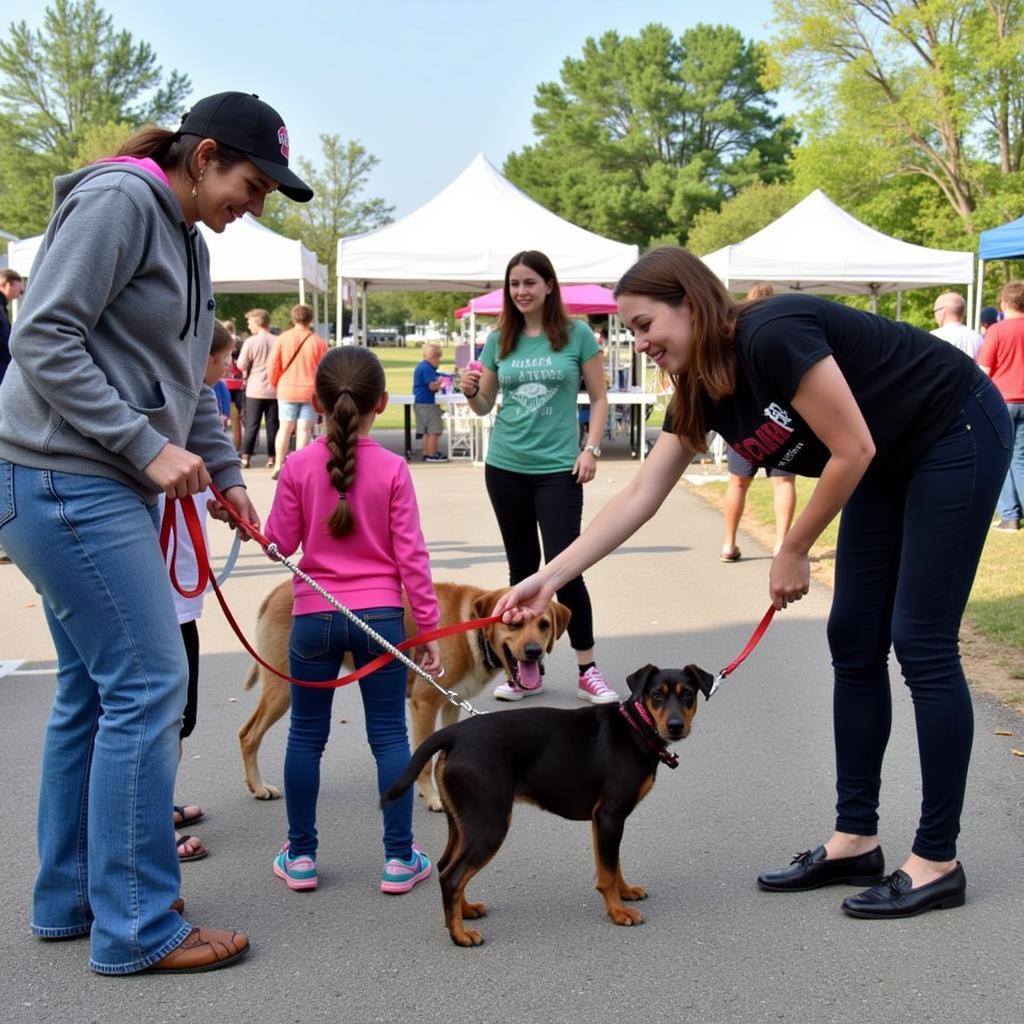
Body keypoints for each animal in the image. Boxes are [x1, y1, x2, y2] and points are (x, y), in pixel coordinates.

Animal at [236, 581, 573, 802]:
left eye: (544, 625)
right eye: (513, 624)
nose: (534, 652)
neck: (471, 630)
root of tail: (275, 592)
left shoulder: (450, 703)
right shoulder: (424, 703)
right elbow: (425, 758)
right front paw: (433, 798)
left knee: (245, 732)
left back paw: (253, 785)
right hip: (285, 689)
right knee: (249, 734)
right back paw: (259, 786)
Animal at [382, 663, 712, 942]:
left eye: (688, 694)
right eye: (656, 695)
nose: (675, 726)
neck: (636, 727)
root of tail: (454, 734)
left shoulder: (605, 820)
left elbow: (612, 864)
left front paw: (626, 893)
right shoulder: (610, 815)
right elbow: (607, 871)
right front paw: (618, 912)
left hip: (464, 821)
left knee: (446, 867)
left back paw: (465, 913)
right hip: (490, 824)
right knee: (453, 876)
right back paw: (460, 936)